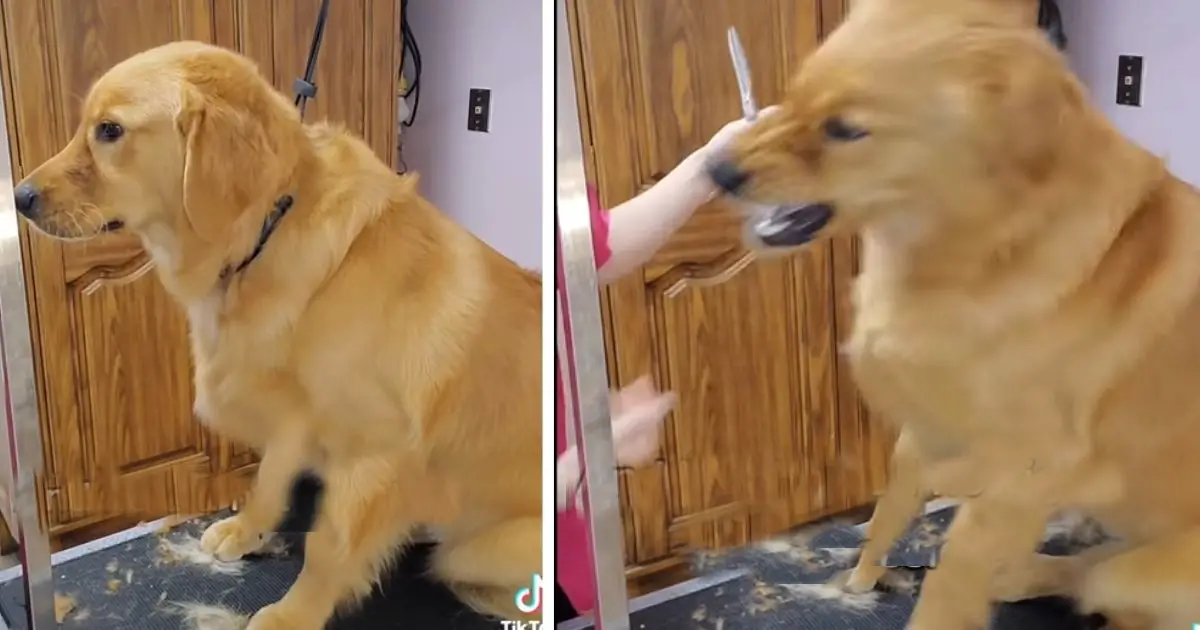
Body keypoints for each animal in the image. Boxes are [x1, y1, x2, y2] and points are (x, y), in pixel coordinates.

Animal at [10, 41, 540, 624]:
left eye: (109, 130)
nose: (19, 197)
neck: (268, 232)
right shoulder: (292, 413)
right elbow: (268, 479)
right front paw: (246, 532)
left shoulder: (374, 453)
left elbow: (328, 547)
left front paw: (292, 615)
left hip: (473, 550)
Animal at [705, 1, 1200, 628]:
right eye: (791, 98)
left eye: (846, 129)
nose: (716, 172)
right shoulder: (923, 430)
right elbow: (889, 511)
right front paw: (860, 578)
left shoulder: (1027, 472)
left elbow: (951, 581)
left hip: (1134, 569)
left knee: (1099, 584)